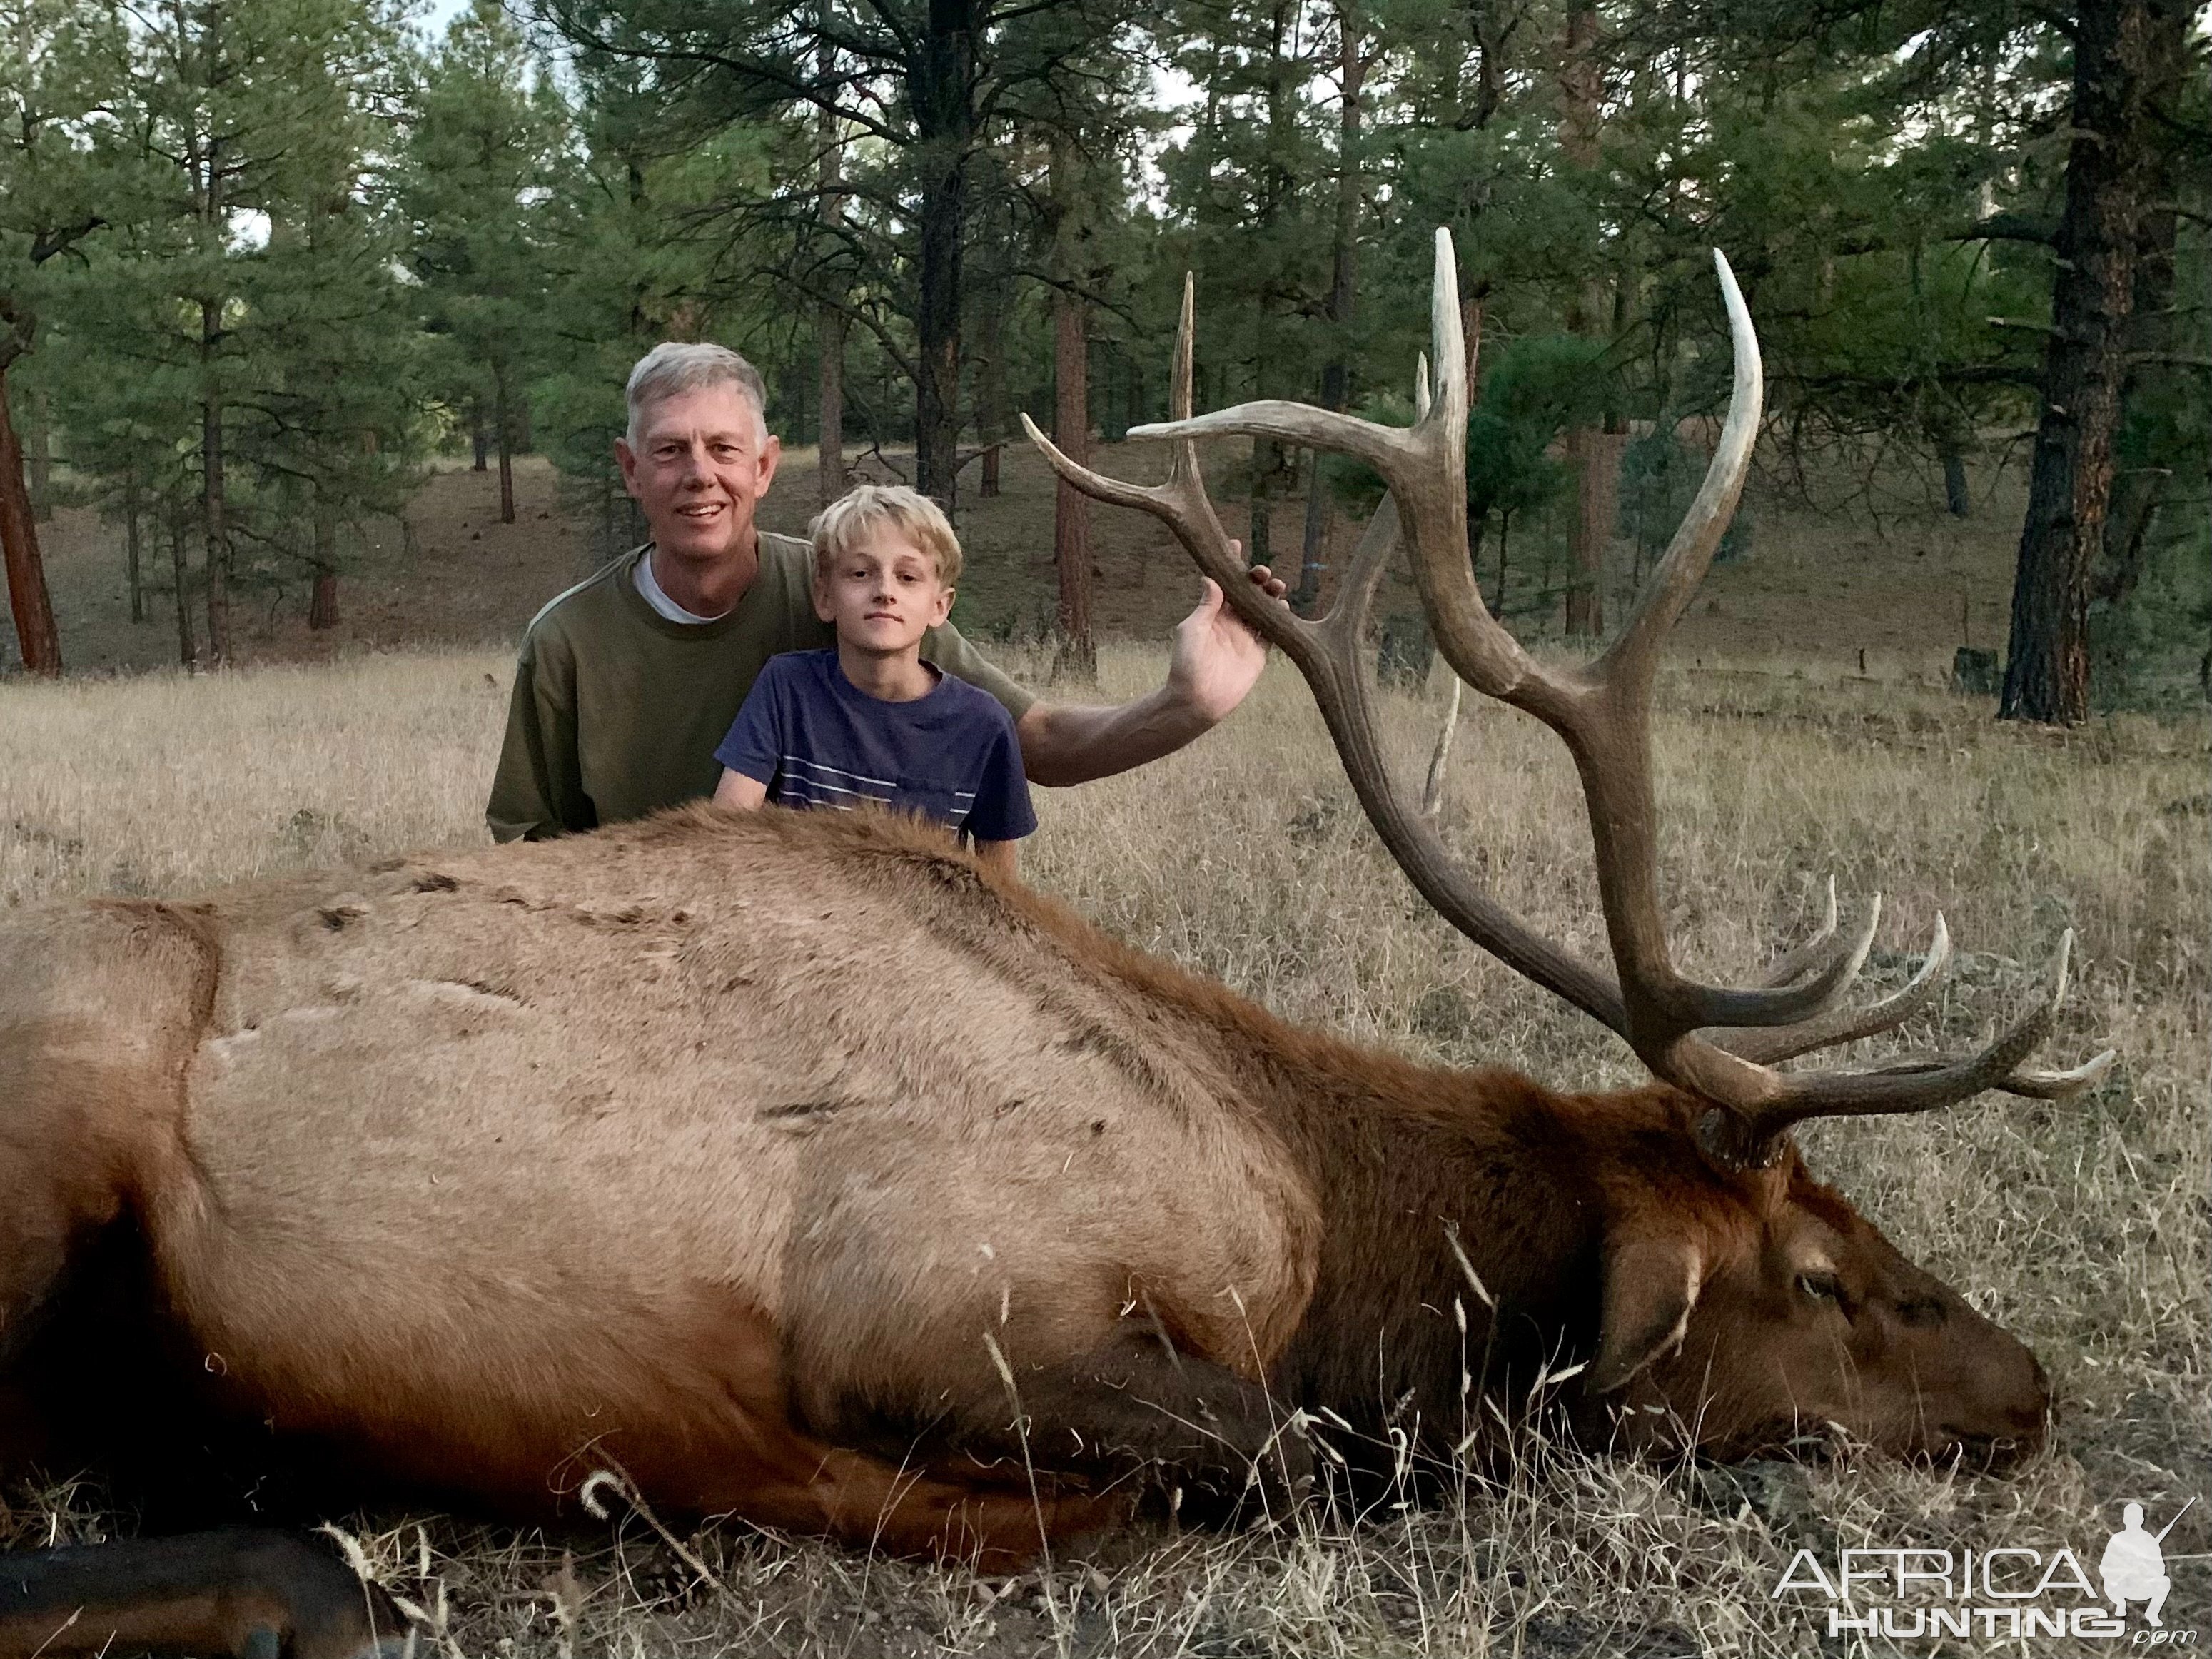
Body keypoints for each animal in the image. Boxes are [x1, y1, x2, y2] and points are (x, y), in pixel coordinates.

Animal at [0, 236, 2106, 1659]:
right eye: (1818, 1272)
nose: (2030, 1390)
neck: (1319, 1226)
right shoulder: (945, 1309)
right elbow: (1297, 1454)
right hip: (65, 1110)